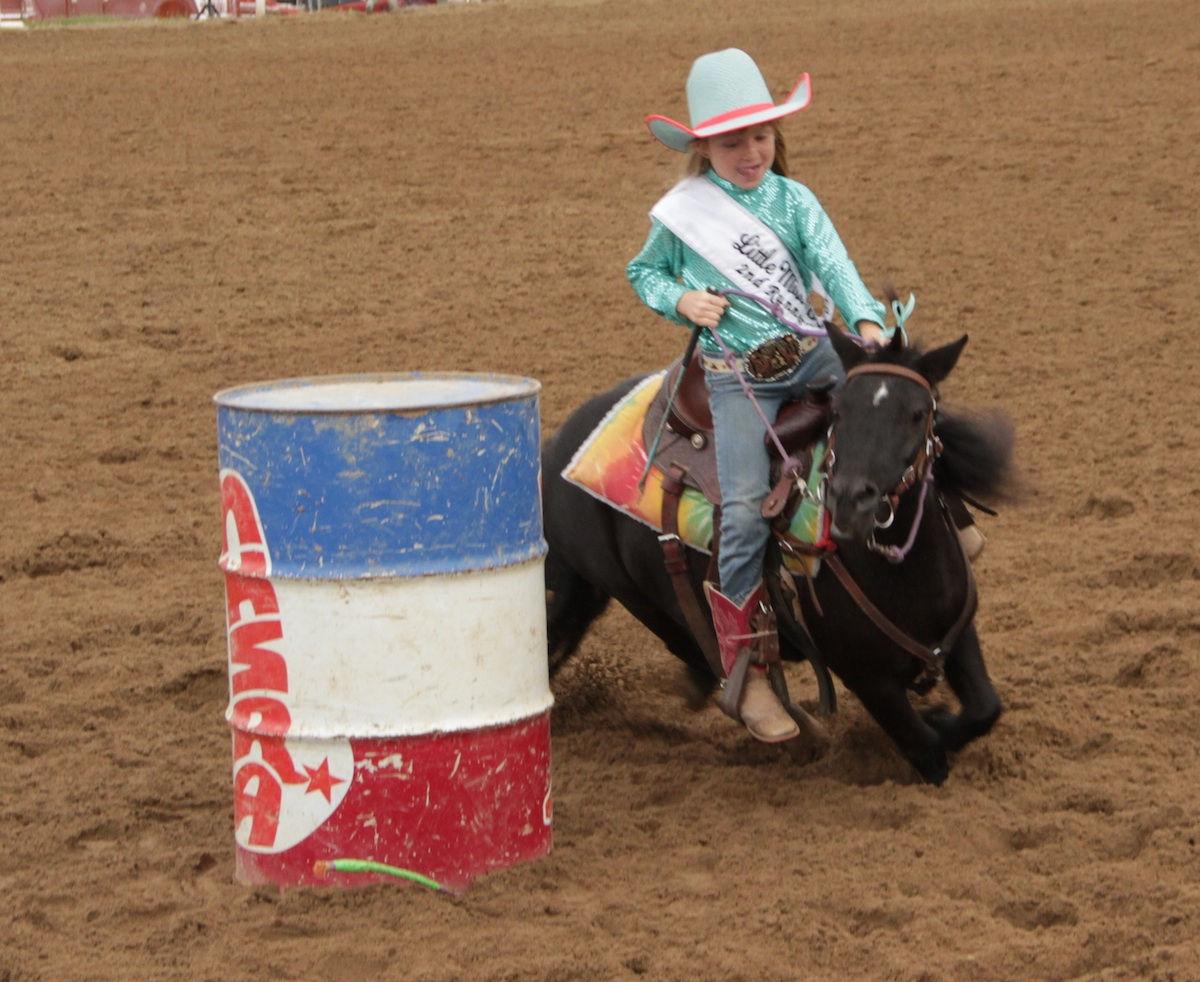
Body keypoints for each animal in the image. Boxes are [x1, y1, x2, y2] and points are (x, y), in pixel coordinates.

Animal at [544, 324, 1012, 782]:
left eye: (918, 413)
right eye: (839, 413)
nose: (849, 500)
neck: (902, 572)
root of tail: (557, 448)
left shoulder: (955, 634)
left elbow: (984, 710)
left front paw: (940, 714)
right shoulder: (867, 678)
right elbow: (927, 750)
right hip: (626, 591)